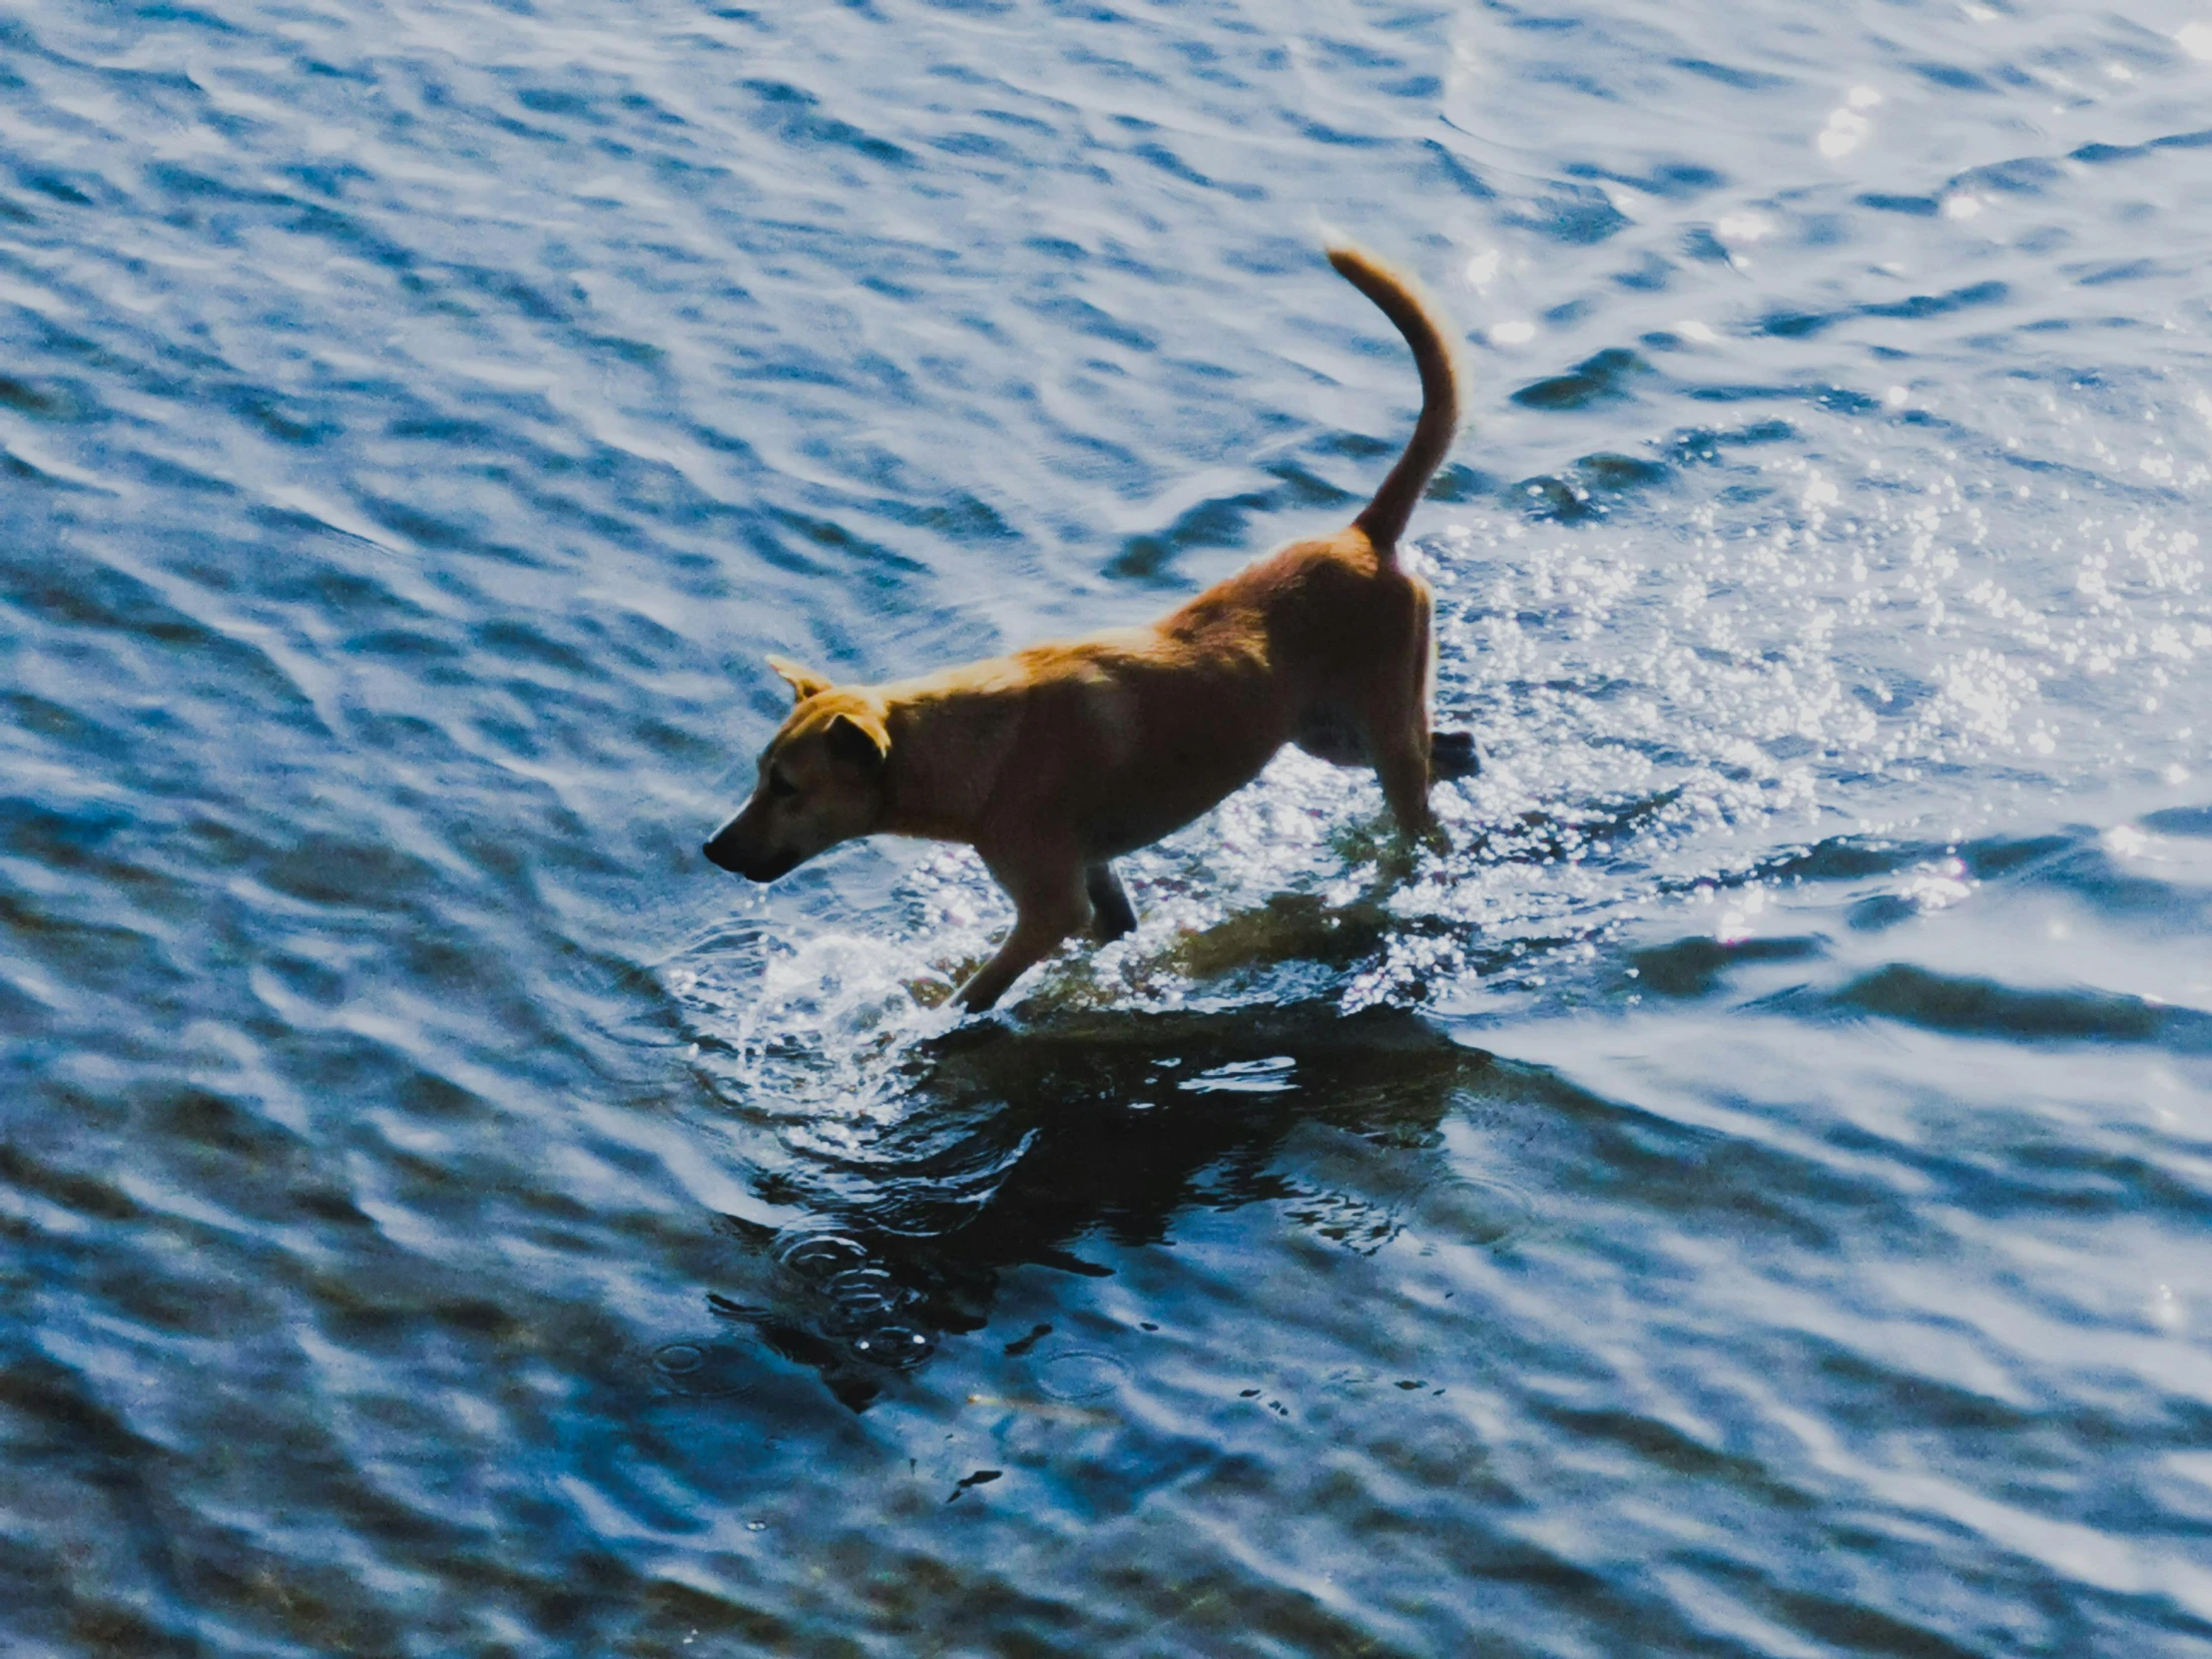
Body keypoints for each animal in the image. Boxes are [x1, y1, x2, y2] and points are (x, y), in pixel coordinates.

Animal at [703, 239, 1468, 1008]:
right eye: (758, 773)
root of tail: (1363, 534)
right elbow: (1115, 933)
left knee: (1425, 794)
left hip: (1377, 730)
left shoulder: (1050, 907)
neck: (973, 749)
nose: (710, 848)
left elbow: (974, 995)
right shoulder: (1098, 879)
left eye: (787, 787)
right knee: (1457, 749)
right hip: (1330, 735)